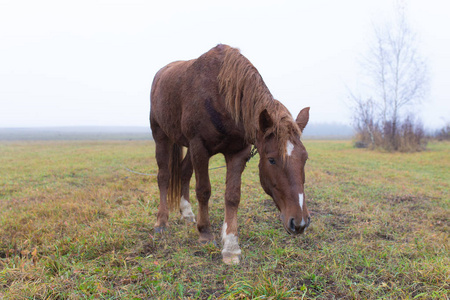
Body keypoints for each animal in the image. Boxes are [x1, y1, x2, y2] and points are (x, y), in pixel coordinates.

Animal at [150, 44, 310, 264]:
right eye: (271, 160)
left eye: (305, 158)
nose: (300, 223)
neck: (220, 96)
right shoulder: (199, 147)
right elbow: (204, 190)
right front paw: (205, 233)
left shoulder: (238, 153)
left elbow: (233, 195)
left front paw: (231, 245)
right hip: (161, 135)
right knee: (164, 176)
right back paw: (161, 222)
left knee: (183, 172)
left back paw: (187, 213)